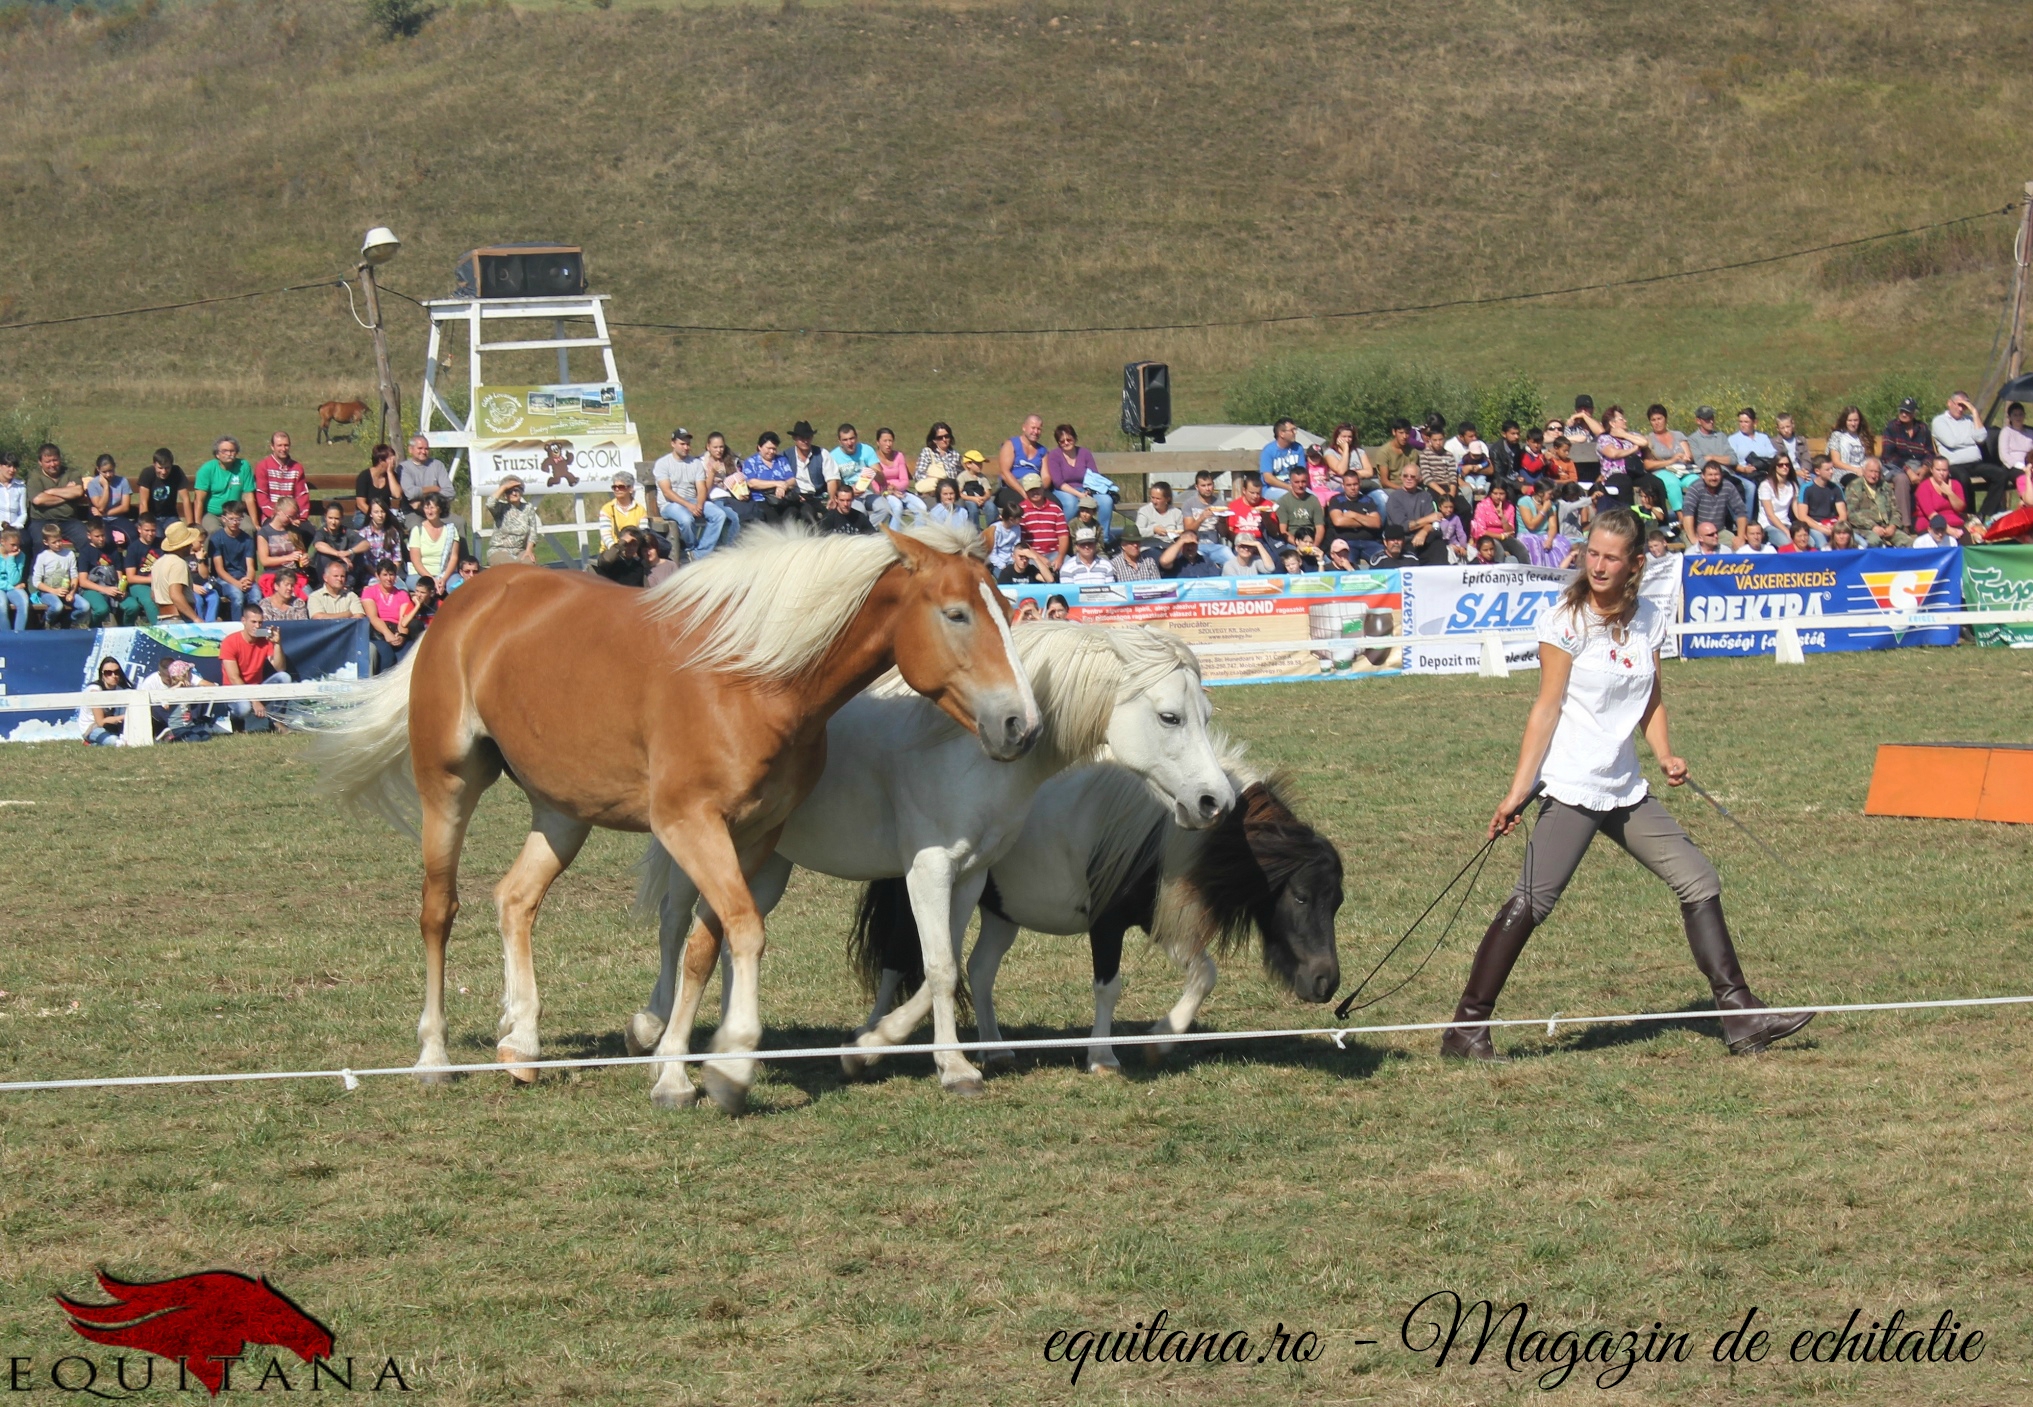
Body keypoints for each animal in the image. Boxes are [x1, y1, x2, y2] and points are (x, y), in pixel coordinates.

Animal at [327, 520, 1049, 1114]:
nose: (1022, 724)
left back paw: (522, 1042)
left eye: (1004, 606)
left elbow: (705, 948)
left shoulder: (752, 834)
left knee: (514, 899)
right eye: (956, 613)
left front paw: (676, 1072)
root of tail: (469, 600)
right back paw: (434, 1056)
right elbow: (746, 932)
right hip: (448, 786)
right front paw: (730, 1066)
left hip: (562, 812)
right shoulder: (690, 825)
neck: (748, 678)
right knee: (438, 911)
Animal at [626, 622, 1227, 1106]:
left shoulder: (971, 874)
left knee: (730, 941)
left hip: (769, 863)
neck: (965, 747)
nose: (1215, 802)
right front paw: (955, 1069)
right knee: (676, 926)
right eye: (1169, 717)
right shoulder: (929, 870)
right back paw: (655, 1039)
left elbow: (945, 965)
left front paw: (869, 1046)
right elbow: (938, 967)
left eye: (1206, 715)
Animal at [849, 731, 1341, 1073]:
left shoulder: (1155, 918)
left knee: (979, 968)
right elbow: (1108, 987)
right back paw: (868, 1039)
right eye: (1300, 896)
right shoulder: (1107, 923)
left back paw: (993, 1048)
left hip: (1002, 911)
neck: (1160, 832)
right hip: (918, 898)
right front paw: (1103, 1056)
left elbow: (1204, 974)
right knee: (897, 964)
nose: (1326, 982)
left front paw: (1163, 1036)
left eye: (1336, 903)